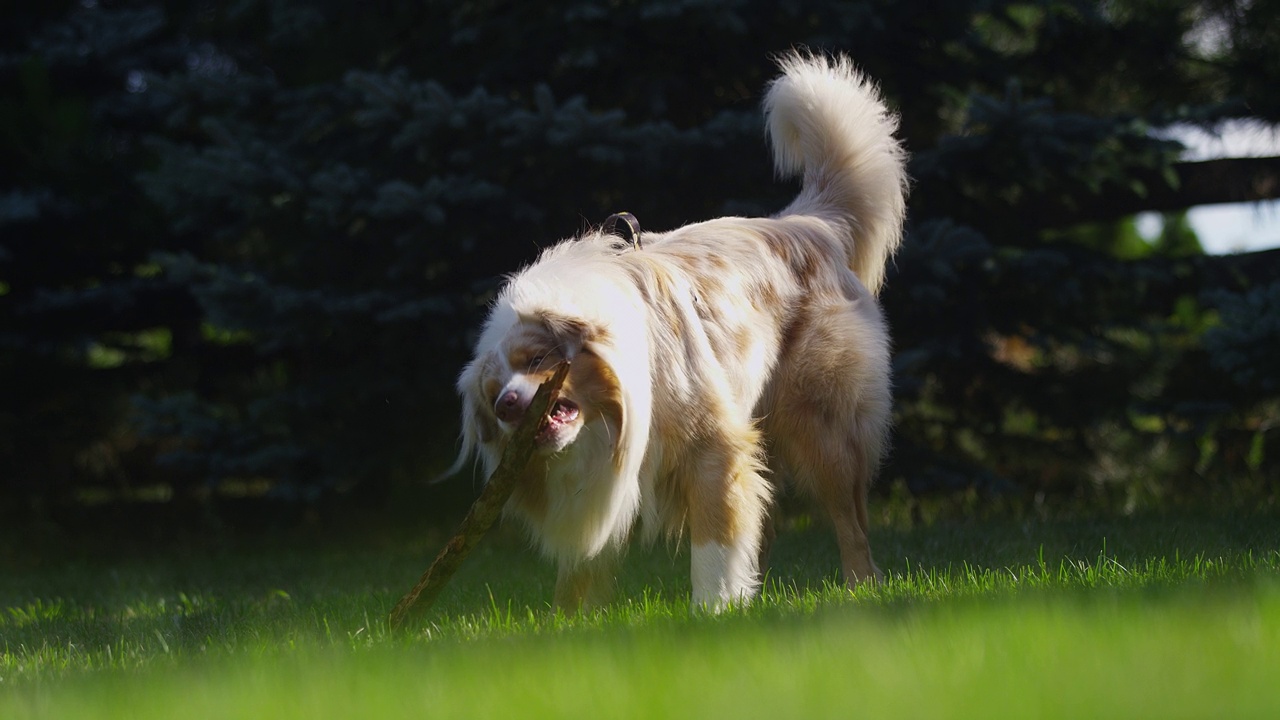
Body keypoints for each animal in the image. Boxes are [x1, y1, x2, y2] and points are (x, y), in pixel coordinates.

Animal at [450, 51, 911, 609]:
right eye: (492, 393)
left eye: (538, 360)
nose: (509, 405)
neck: (611, 413)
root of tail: (807, 223)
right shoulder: (603, 481)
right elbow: (582, 573)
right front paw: (572, 621)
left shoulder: (712, 443)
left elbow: (714, 544)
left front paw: (711, 610)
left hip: (824, 428)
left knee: (851, 523)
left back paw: (859, 590)